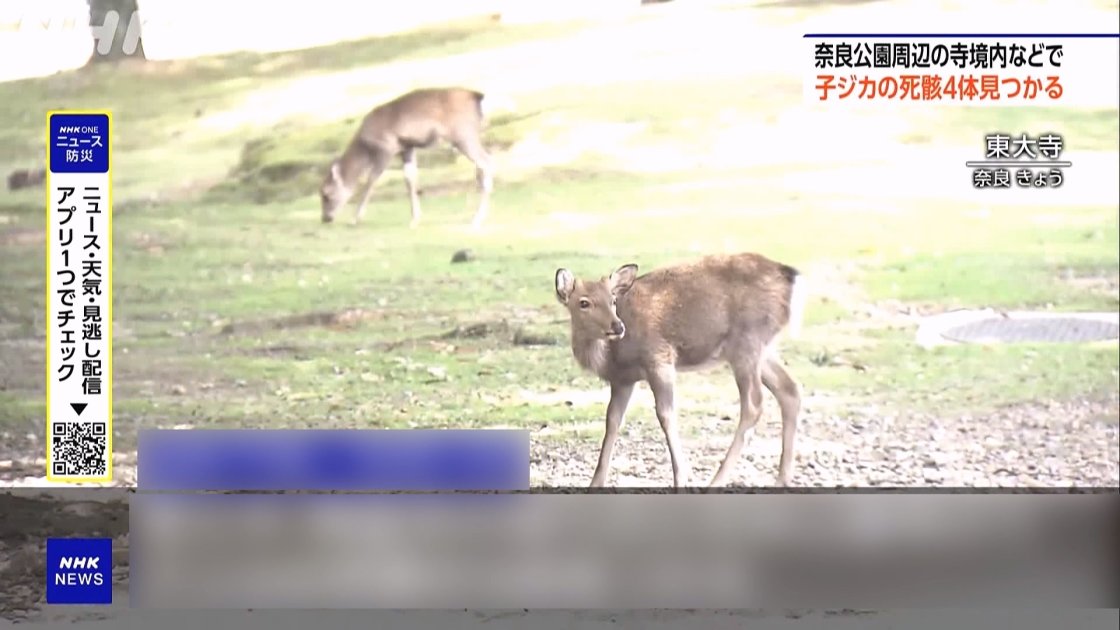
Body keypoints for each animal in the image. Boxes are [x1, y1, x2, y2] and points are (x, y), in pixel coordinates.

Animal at [318, 87, 502, 228]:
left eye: (326, 194)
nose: (325, 218)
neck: (365, 145)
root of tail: (478, 97)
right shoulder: (406, 148)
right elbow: (409, 179)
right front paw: (415, 219)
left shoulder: (387, 147)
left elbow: (371, 180)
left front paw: (354, 219)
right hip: (470, 135)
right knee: (484, 164)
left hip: (463, 135)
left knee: (487, 162)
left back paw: (477, 219)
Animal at [553, 252, 806, 489]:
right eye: (583, 302)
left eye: (613, 300)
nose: (617, 326)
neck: (612, 355)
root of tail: (791, 277)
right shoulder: (623, 380)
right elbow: (613, 421)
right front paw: (595, 483)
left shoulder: (660, 358)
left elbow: (666, 415)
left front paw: (681, 478)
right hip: (761, 349)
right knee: (789, 390)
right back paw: (782, 478)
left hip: (746, 341)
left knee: (754, 404)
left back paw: (716, 481)